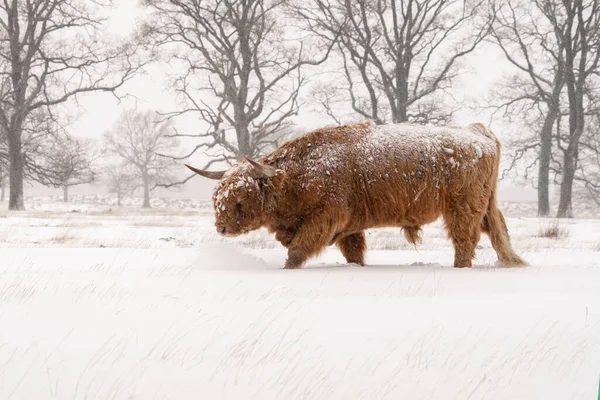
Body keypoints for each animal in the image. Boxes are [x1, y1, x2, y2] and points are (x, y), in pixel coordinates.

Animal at [186, 122, 524, 270]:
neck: (295, 176)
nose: (221, 227)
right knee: (498, 232)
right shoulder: (350, 228)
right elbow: (354, 252)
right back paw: (513, 262)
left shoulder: (325, 218)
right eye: (218, 196)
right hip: (485, 205)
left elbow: (297, 250)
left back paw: (461, 268)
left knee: (465, 239)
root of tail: (478, 132)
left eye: (240, 197)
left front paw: (287, 269)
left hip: (463, 207)